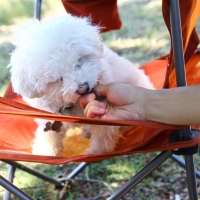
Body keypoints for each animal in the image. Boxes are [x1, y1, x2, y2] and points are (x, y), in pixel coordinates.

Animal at [9, 14, 153, 156]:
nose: (83, 88)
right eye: (57, 79)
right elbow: (49, 136)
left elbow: (102, 139)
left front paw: (94, 152)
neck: (70, 104)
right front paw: (46, 151)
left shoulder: (104, 123)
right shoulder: (47, 117)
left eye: (79, 62)